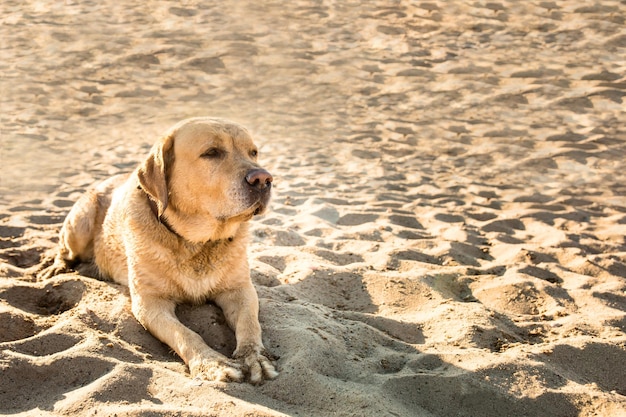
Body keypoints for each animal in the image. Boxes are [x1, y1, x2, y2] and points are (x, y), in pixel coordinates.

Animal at [39, 118, 278, 384]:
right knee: (65, 250)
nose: (263, 179)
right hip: (81, 221)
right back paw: (56, 268)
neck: (197, 243)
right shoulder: (150, 304)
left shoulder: (240, 290)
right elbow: (185, 334)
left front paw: (254, 357)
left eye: (253, 152)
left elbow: (250, 324)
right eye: (212, 152)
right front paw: (211, 362)